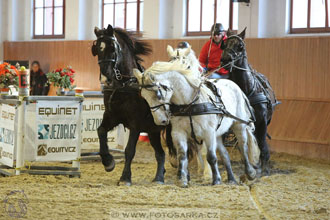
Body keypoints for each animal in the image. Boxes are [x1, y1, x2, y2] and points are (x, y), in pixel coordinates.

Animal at [91, 24, 166, 186]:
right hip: (153, 131)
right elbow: (101, 131)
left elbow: (129, 150)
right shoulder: (111, 117)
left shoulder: (135, 124)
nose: (105, 79)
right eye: (97, 50)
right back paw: (159, 177)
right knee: (161, 153)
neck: (124, 86)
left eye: (113, 48)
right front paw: (108, 162)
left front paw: (125, 177)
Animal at [222, 27, 278, 175]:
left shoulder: (262, 120)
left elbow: (262, 142)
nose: (225, 59)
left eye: (240, 46)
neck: (247, 90)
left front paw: (264, 167)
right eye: (224, 45)